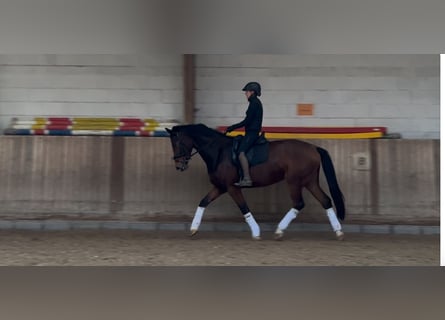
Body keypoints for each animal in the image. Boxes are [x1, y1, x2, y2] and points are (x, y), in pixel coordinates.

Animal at [165, 123, 346, 240]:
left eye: (178, 142)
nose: (179, 165)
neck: (219, 151)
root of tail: (314, 148)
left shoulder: (232, 187)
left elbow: (244, 208)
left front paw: (256, 232)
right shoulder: (220, 187)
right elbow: (203, 202)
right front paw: (193, 228)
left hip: (294, 181)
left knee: (299, 203)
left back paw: (279, 231)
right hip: (309, 181)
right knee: (325, 200)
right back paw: (338, 232)